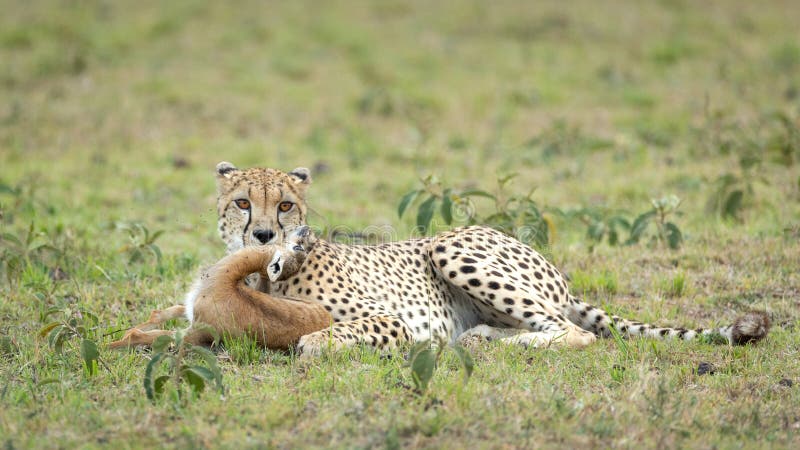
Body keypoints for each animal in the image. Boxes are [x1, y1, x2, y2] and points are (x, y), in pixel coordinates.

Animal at [119, 162, 768, 356]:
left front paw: (312, 343)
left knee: (574, 333)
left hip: (450, 245)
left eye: (283, 203)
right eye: (241, 202)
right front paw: (131, 335)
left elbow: (324, 335)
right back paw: (481, 336)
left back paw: (494, 342)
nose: (262, 233)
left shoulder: (394, 321)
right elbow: (164, 324)